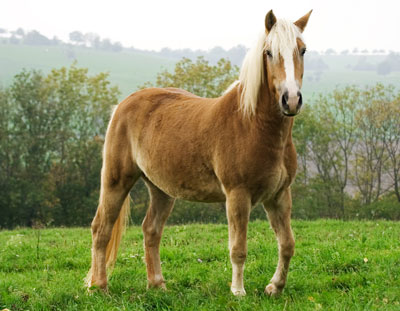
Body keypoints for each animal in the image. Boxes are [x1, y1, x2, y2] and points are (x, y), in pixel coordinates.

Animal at [86, 9, 312, 298]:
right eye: (269, 52)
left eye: (302, 50)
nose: (291, 100)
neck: (252, 124)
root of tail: (122, 105)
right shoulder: (237, 195)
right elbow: (238, 248)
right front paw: (238, 291)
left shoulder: (279, 195)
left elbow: (287, 243)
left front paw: (275, 287)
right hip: (116, 180)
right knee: (101, 228)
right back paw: (99, 286)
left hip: (161, 189)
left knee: (151, 230)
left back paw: (157, 284)